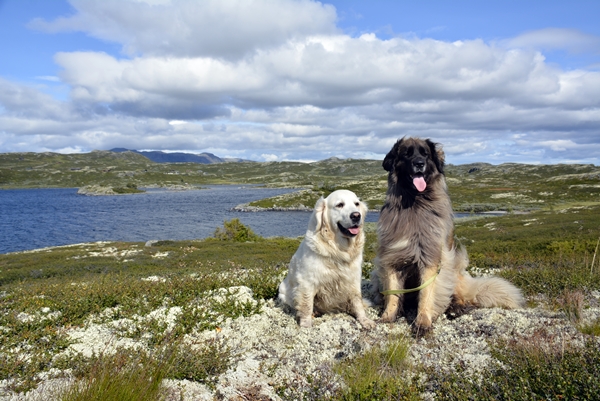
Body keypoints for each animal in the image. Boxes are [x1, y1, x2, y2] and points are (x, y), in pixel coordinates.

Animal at [372, 138, 524, 334]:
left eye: (425, 154)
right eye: (407, 154)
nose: (419, 164)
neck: (414, 203)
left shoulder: (430, 257)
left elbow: (426, 294)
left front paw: (422, 322)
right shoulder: (392, 257)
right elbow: (393, 293)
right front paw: (388, 317)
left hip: (453, 268)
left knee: (459, 296)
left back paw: (456, 308)